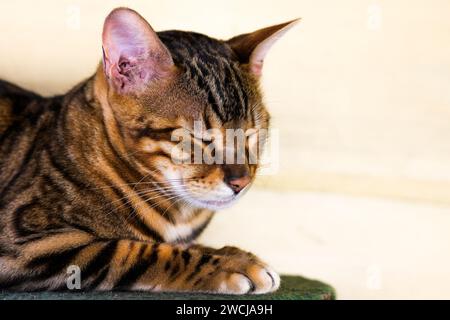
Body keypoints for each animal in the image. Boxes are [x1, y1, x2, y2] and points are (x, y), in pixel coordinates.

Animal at [0, 7, 298, 294]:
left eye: (252, 134)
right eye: (198, 137)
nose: (241, 182)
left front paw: (230, 252)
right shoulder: (25, 244)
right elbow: (135, 249)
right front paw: (231, 264)